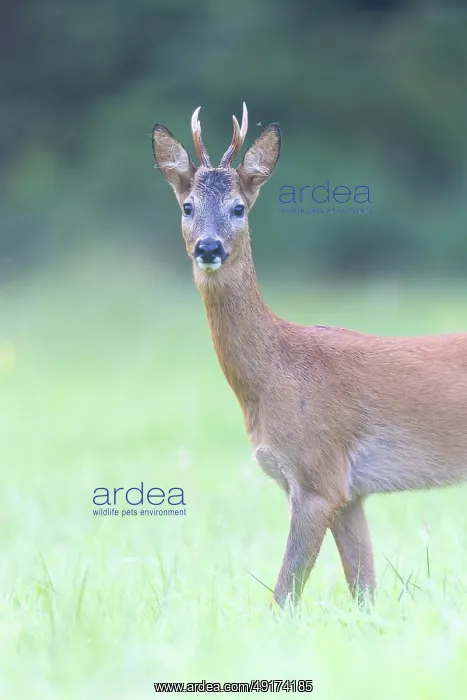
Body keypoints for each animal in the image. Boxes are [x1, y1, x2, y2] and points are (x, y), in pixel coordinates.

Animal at [151, 103, 467, 610]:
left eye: (239, 207)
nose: (209, 247)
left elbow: (284, 596)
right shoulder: (350, 492)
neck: (272, 379)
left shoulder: (319, 474)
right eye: (187, 206)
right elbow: (364, 591)